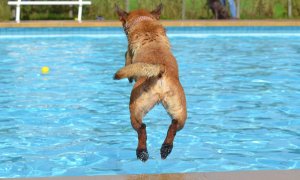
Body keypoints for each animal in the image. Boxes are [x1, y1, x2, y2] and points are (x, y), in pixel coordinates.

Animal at [113, 3, 186, 162]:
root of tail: (160, 71)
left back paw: (142, 152)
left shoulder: (128, 56)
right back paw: (166, 148)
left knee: (142, 128)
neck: (145, 22)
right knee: (174, 125)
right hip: (180, 110)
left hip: (135, 108)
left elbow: (126, 58)